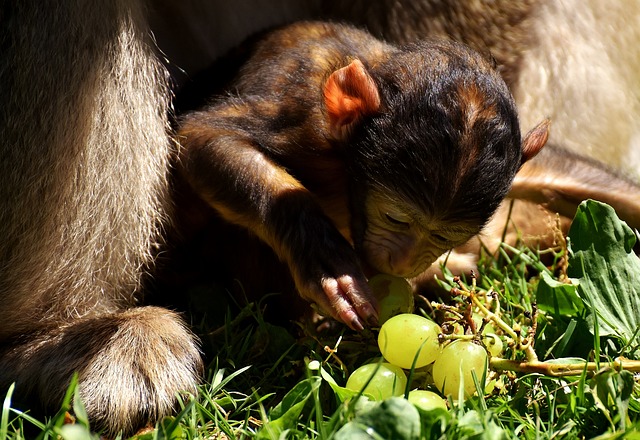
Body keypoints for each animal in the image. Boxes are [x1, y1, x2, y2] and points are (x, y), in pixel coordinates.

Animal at [178, 21, 548, 330]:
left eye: (444, 238)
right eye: (395, 218)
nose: (402, 263)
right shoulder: (302, 108)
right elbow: (204, 137)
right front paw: (323, 257)